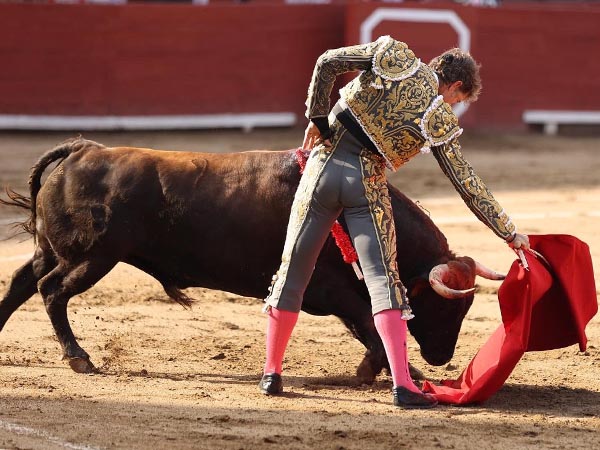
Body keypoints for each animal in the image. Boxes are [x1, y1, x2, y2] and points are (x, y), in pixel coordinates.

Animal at [0, 138, 503, 382]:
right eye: (446, 306)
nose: (442, 357)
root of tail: (85, 150)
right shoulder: (330, 289)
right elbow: (369, 324)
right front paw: (384, 373)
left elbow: (371, 328)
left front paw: (405, 372)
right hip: (93, 257)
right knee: (50, 291)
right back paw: (79, 358)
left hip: (56, 251)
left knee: (22, 282)